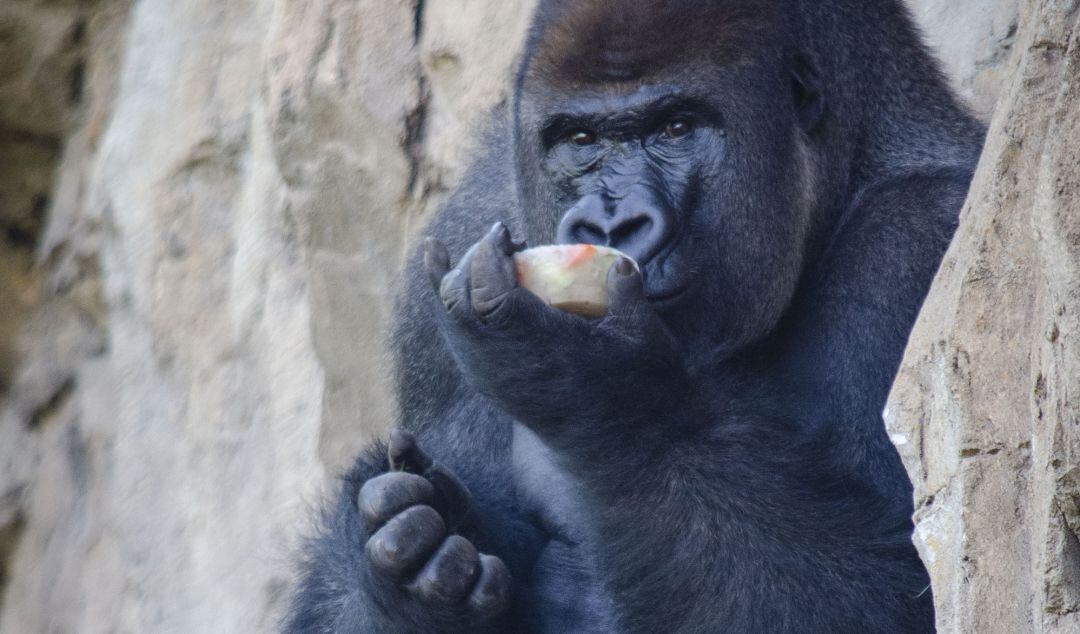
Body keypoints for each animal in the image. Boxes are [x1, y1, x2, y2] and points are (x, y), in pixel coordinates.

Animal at [287, 2, 989, 630]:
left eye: (676, 128)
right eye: (582, 139)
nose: (610, 224)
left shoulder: (918, 241)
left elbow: (901, 594)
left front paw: (592, 387)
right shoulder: (470, 222)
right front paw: (404, 579)